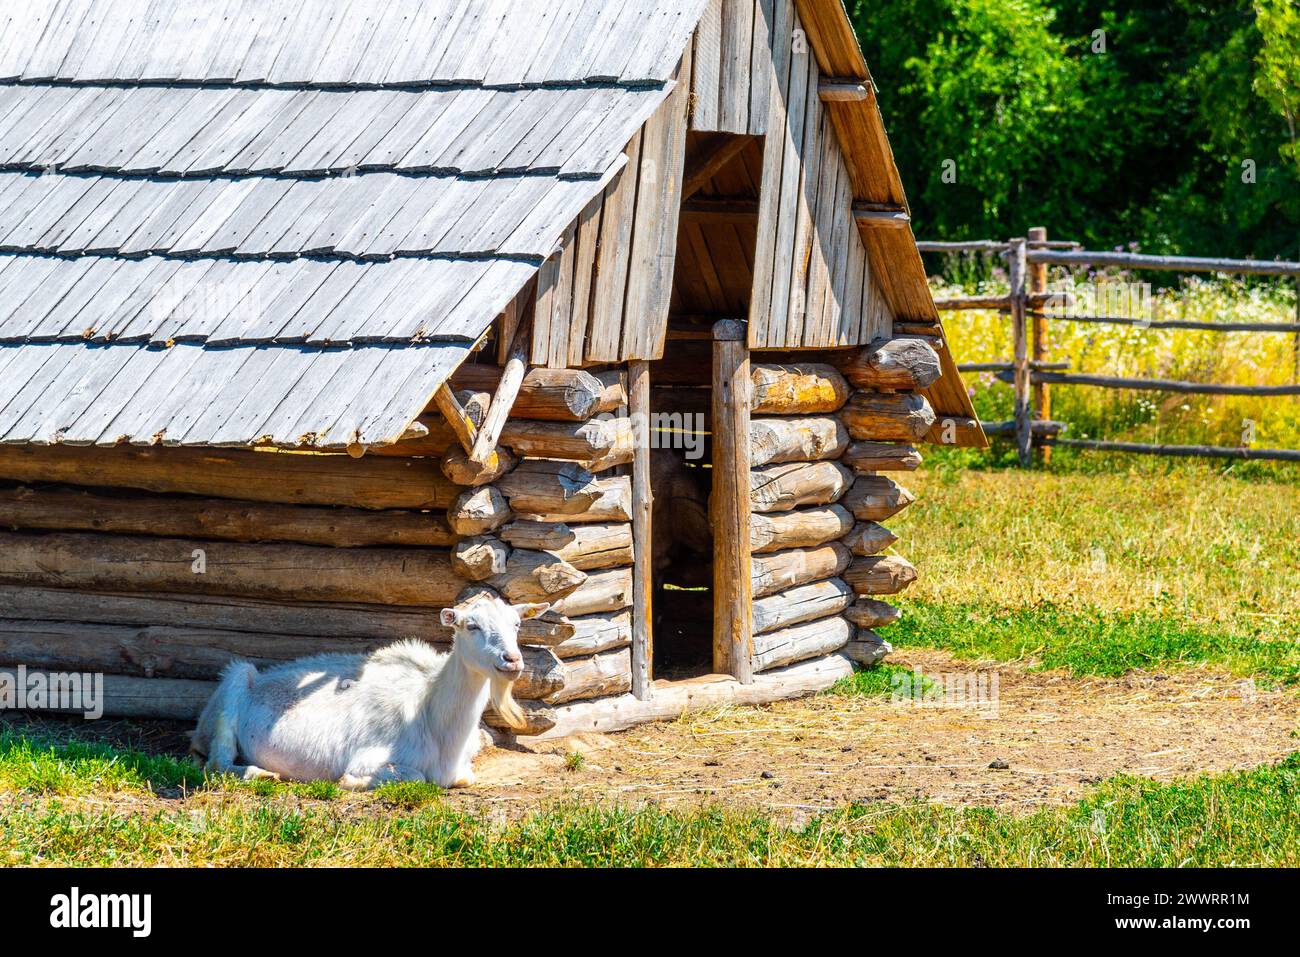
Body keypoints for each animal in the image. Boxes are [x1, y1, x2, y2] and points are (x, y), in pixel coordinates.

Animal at [189, 594, 549, 789]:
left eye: (517, 624)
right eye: (471, 625)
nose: (512, 660)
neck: (430, 710)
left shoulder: (463, 770)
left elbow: (464, 777)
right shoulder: (370, 757)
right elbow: (414, 778)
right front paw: (349, 782)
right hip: (235, 683)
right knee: (217, 763)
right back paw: (263, 773)